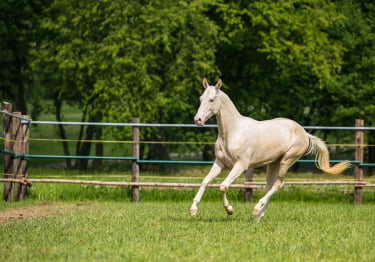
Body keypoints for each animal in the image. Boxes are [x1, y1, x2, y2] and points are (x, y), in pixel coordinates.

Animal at [189, 79, 352, 222]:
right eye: (201, 98)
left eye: (212, 99)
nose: (198, 120)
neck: (232, 132)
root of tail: (304, 133)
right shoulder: (221, 163)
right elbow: (205, 181)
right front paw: (193, 210)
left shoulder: (241, 165)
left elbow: (223, 186)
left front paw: (229, 210)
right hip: (273, 164)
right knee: (270, 186)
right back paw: (257, 217)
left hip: (286, 161)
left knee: (278, 184)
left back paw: (256, 208)